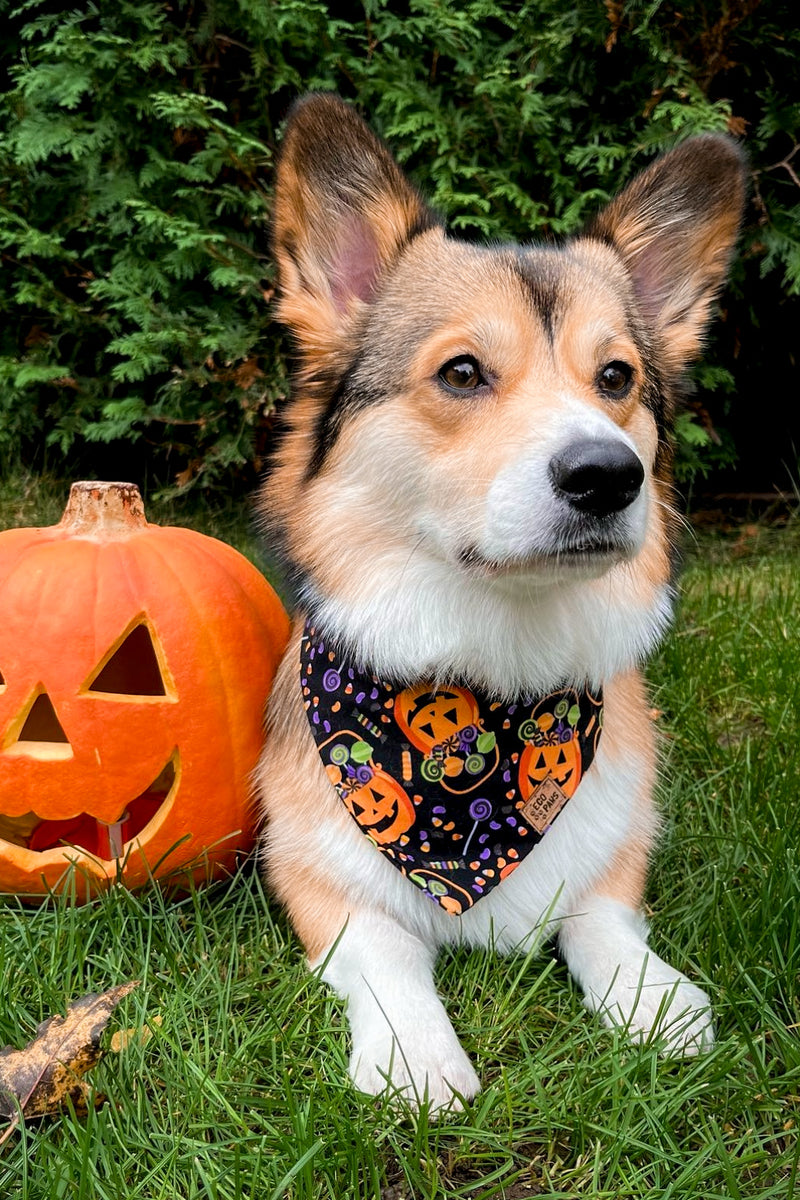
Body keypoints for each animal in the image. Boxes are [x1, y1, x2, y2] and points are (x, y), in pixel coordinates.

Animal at [257, 88, 753, 1108]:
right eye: (461, 372)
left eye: (617, 377)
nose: (610, 476)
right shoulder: (311, 877)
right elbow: (385, 945)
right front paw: (417, 1054)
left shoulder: (612, 855)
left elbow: (599, 917)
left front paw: (654, 1000)